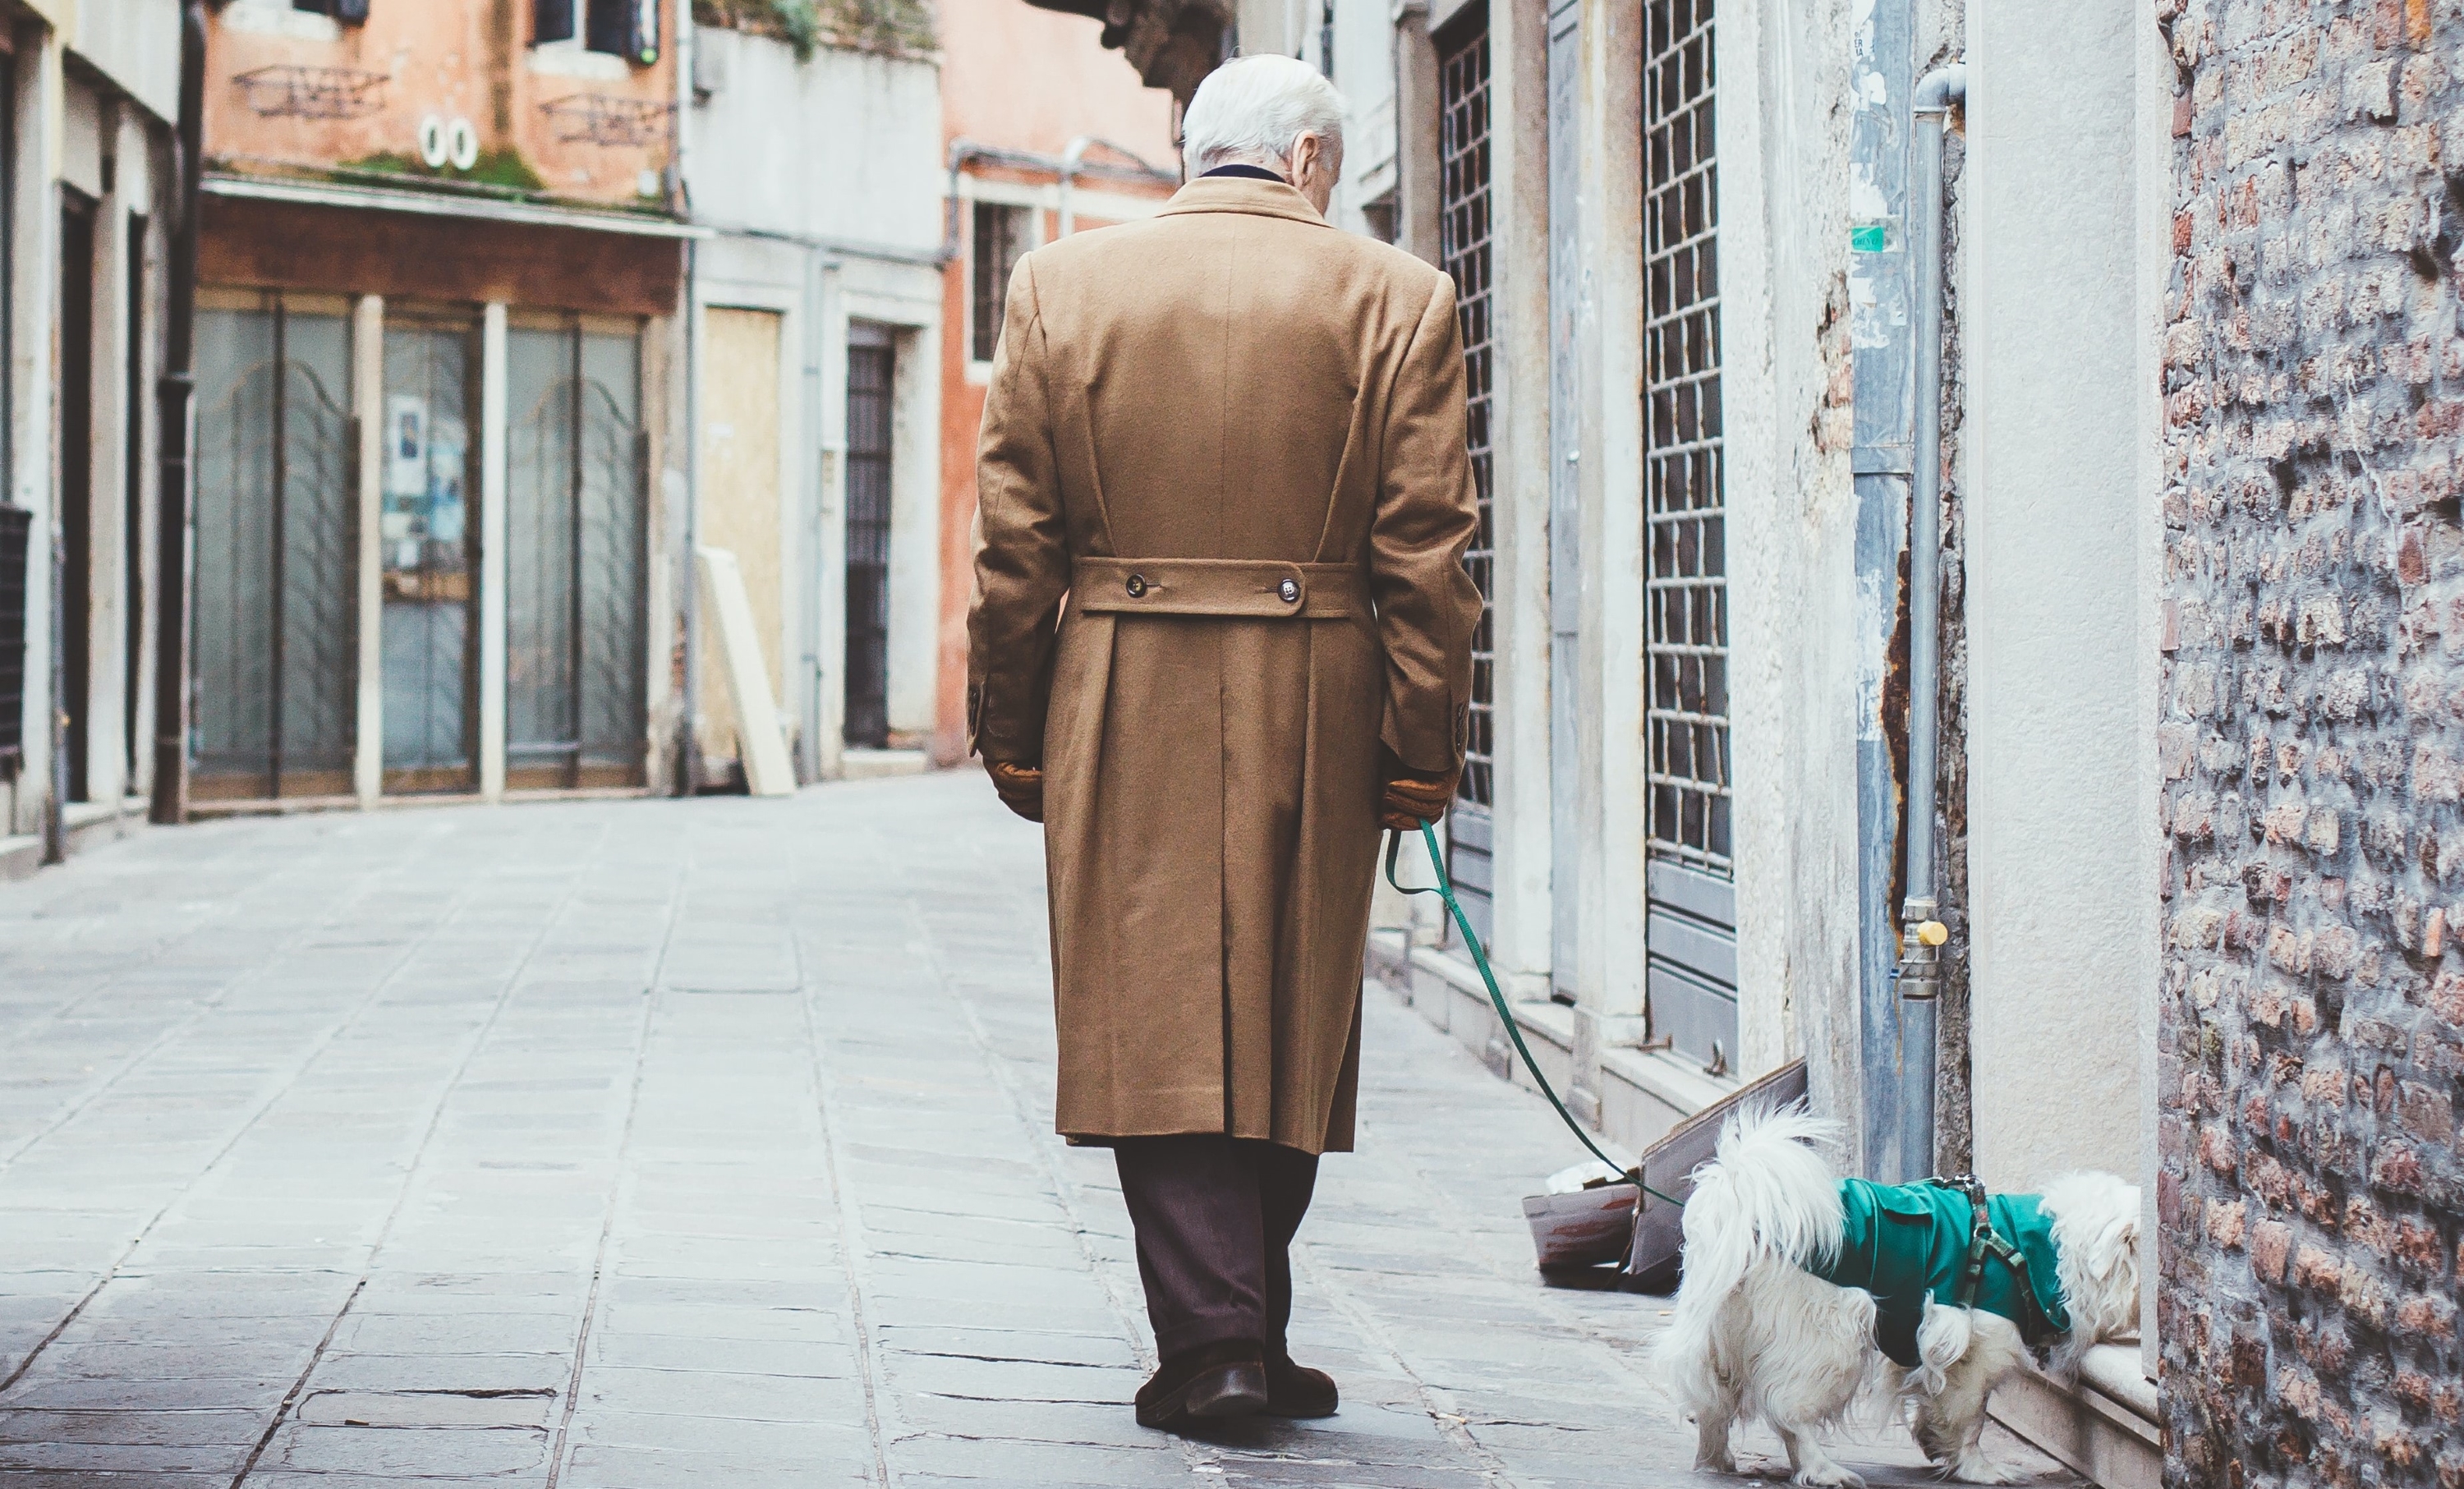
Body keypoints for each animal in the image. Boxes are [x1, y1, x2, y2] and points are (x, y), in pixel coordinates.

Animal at [1656, 1099, 2139, 1478]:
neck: (2042, 1248)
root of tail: (1747, 1211)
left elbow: (1935, 1403)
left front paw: (1933, 1442)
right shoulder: (1975, 1348)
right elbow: (1971, 1416)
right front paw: (1977, 1469)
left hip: (1719, 1337)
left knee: (1713, 1401)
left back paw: (1716, 1461)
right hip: (1828, 1338)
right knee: (1789, 1412)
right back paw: (1822, 1470)